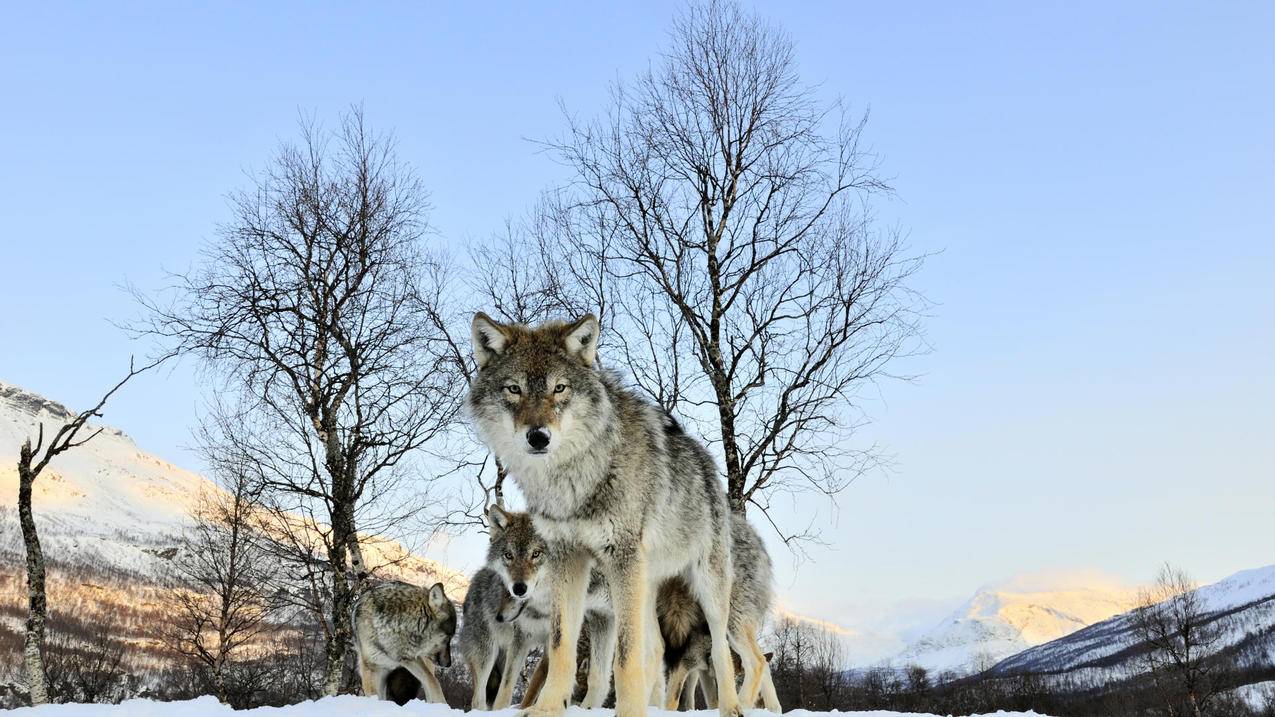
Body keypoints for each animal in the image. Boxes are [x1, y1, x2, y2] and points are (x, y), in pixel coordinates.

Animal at [466, 311, 744, 714]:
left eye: (560, 388)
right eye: (514, 389)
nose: (539, 437)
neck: (573, 478)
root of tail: (704, 458)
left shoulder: (620, 559)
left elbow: (624, 658)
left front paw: (628, 712)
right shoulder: (568, 558)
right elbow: (562, 646)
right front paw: (546, 708)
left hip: (705, 586)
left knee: (720, 650)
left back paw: (732, 707)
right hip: (645, 587)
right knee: (656, 649)